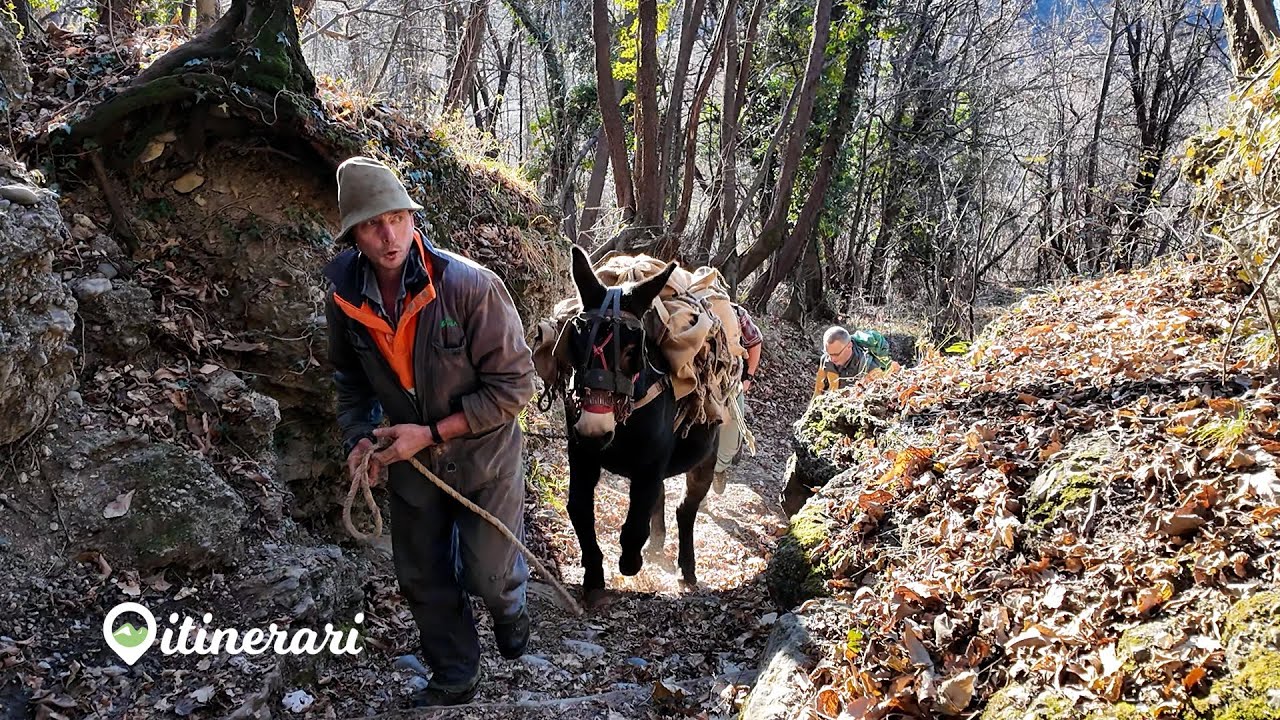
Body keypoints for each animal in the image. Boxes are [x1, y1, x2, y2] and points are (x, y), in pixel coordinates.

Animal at [555, 245, 720, 607]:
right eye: (576, 341)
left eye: (633, 349)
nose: (594, 431)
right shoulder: (582, 456)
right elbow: (579, 510)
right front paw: (594, 577)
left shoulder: (649, 465)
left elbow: (634, 525)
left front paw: (631, 562)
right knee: (662, 500)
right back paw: (658, 545)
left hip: (706, 459)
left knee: (685, 509)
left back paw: (685, 568)